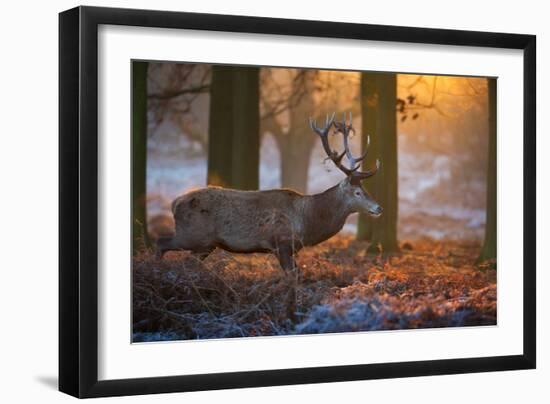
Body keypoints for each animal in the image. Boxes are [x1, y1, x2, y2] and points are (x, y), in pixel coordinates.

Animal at [156, 113, 384, 272]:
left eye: (365, 188)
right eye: (357, 192)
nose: (379, 207)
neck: (307, 222)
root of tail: (175, 203)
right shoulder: (281, 243)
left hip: (204, 244)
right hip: (193, 235)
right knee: (161, 242)